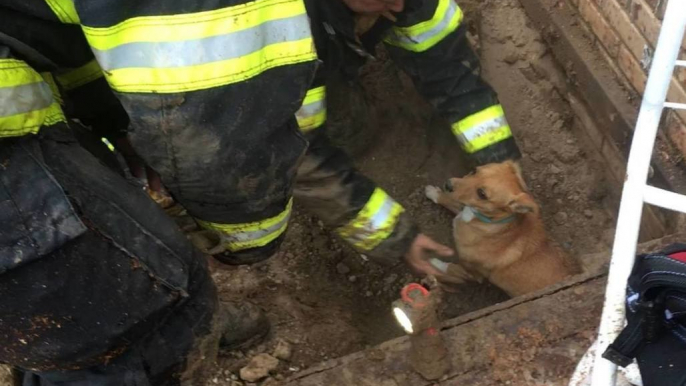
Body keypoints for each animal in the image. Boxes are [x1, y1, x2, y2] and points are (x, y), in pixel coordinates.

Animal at [428, 161, 584, 298]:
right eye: (474, 170)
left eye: (482, 194)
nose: (447, 184)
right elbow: (454, 202)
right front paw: (435, 193)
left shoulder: (472, 273)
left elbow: (448, 268)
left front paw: (431, 263)